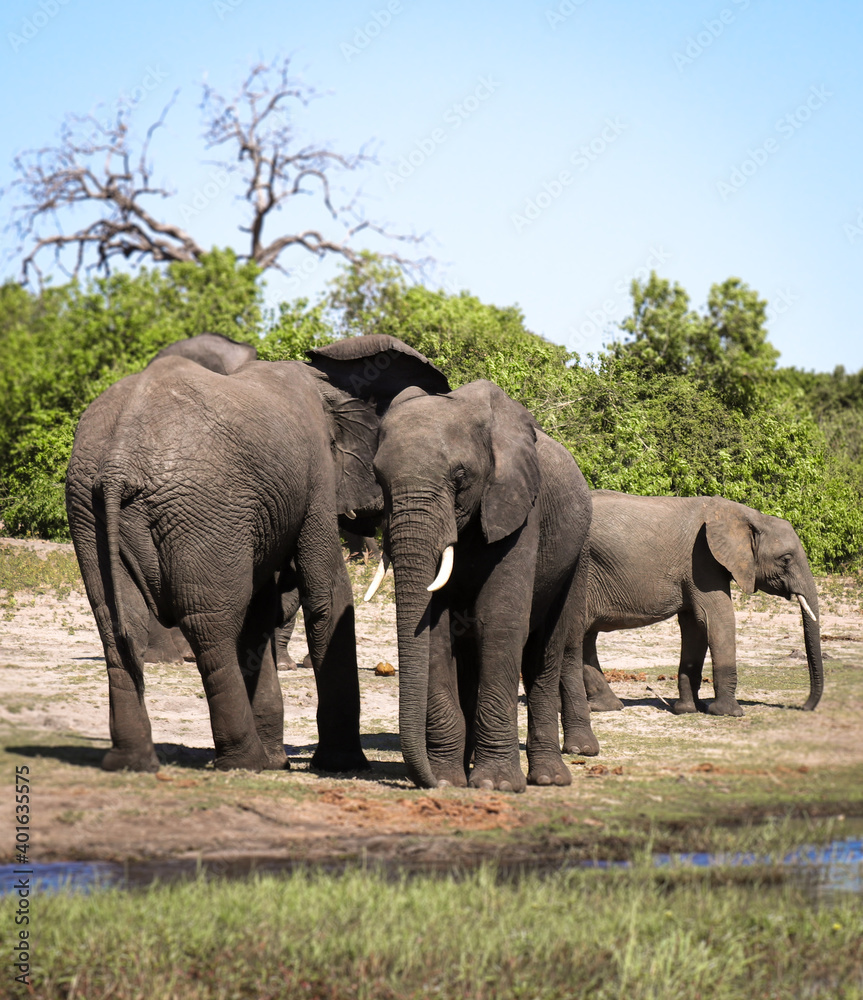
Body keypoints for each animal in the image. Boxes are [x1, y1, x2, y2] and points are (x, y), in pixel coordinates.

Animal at [67, 334, 448, 772]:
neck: (326, 382)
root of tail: (119, 462)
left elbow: (261, 611)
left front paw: (281, 761)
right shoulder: (315, 476)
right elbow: (327, 595)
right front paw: (343, 765)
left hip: (88, 508)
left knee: (117, 624)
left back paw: (133, 762)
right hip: (203, 507)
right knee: (211, 626)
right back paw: (244, 762)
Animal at [368, 378, 596, 792]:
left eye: (459, 477)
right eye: (378, 479)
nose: (426, 780)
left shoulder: (519, 509)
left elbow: (499, 623)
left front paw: (496, 785)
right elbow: (435, 632)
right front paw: (447, 779)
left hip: (575, 557)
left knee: (545, 653)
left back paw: (549, 778)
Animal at [580, 488, 824, 716]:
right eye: (786, 559)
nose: (804, 706)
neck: (749, 515)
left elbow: (695, 626)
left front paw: (688, 709)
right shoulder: (702, 560)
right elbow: (717, 620)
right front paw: (728, 713)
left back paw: (606, 706)